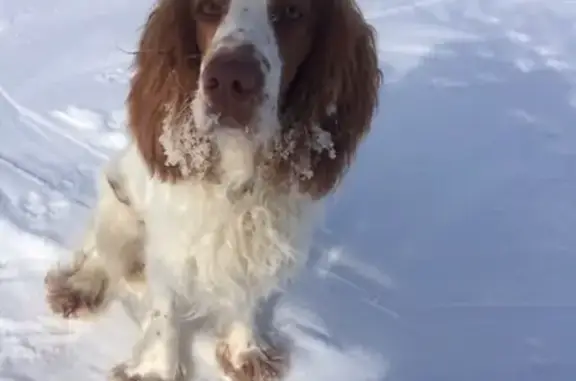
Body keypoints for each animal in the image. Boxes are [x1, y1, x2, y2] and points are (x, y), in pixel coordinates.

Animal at [45, 0, 382, 380]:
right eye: (207, 8)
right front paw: (155, 369)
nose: (231, 81)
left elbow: (246, 292)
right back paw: (80, 287)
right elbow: (164, 310)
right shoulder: (169, 240)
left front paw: (245, 351)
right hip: (117, 203)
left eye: (294, 11)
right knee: (99, 252)